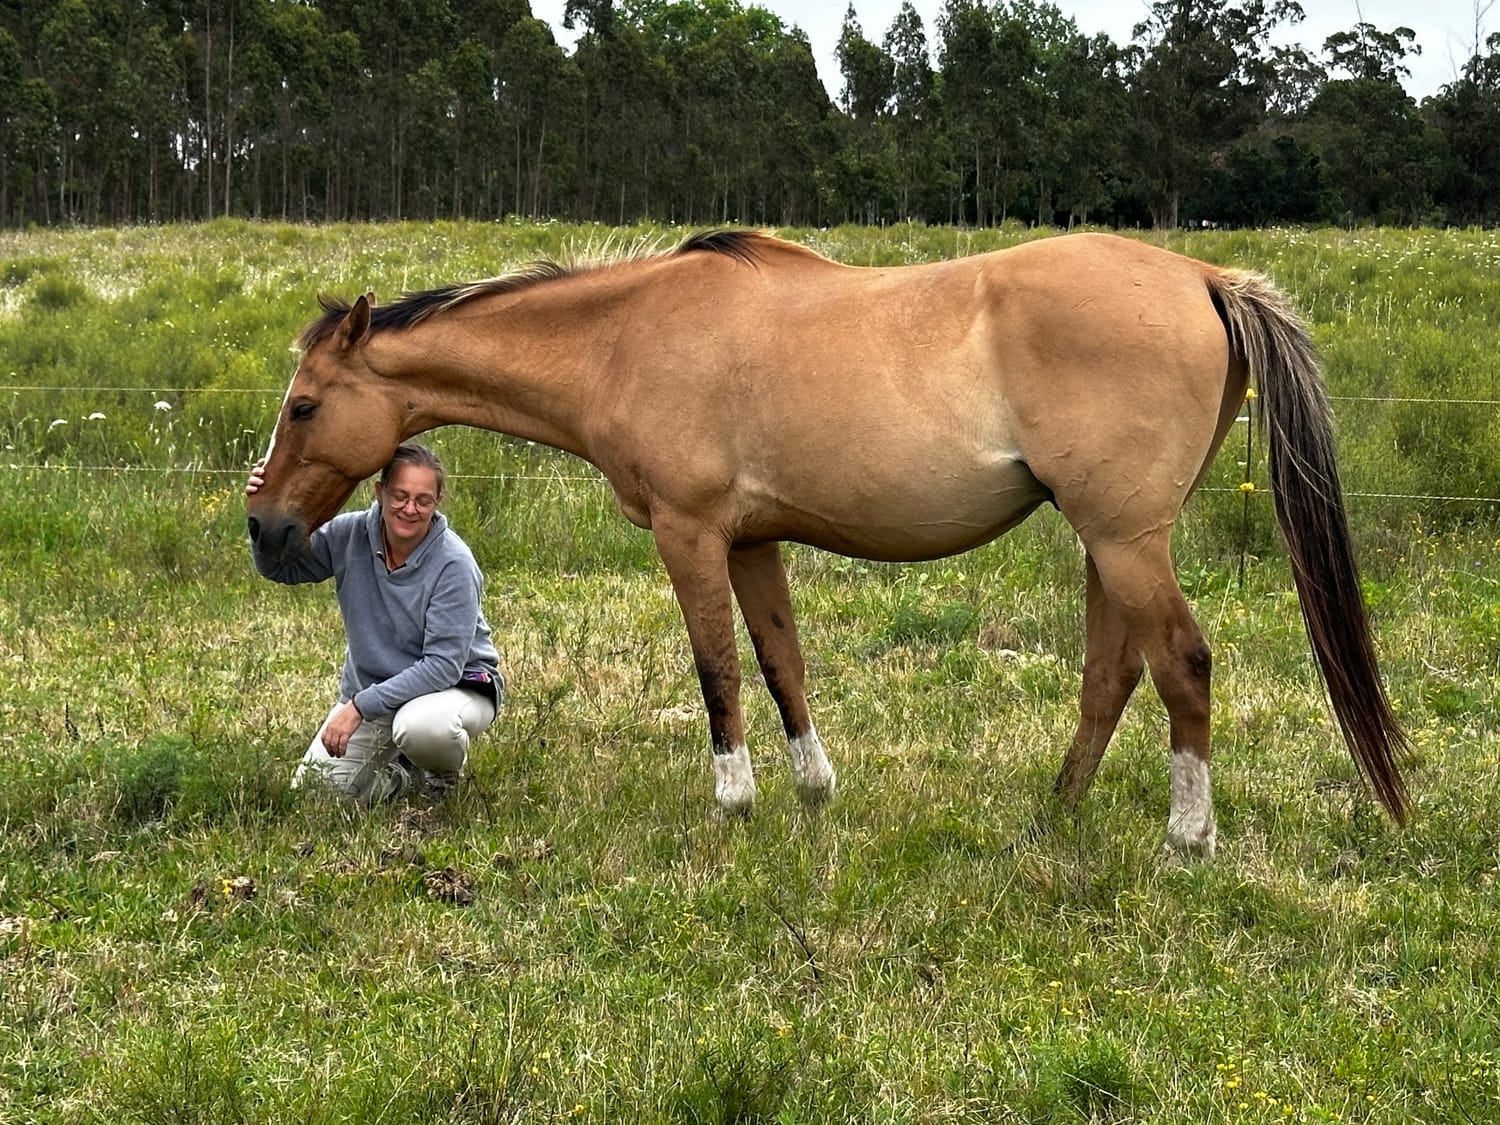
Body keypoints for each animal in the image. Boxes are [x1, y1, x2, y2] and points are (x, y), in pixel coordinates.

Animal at [246, 229, 1408, 856]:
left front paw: (735, 800)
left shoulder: (692, 534)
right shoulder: (753, 541)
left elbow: (717, 668)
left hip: (1124, 539)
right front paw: (812, 792)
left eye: (303, 406)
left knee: (1182, 665)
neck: (625, 337)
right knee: (1111, 673)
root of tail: (1206, 276)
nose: (265, 528)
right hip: (1105, 544)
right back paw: (1054, 813)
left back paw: (1186, 836)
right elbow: (781, 663)